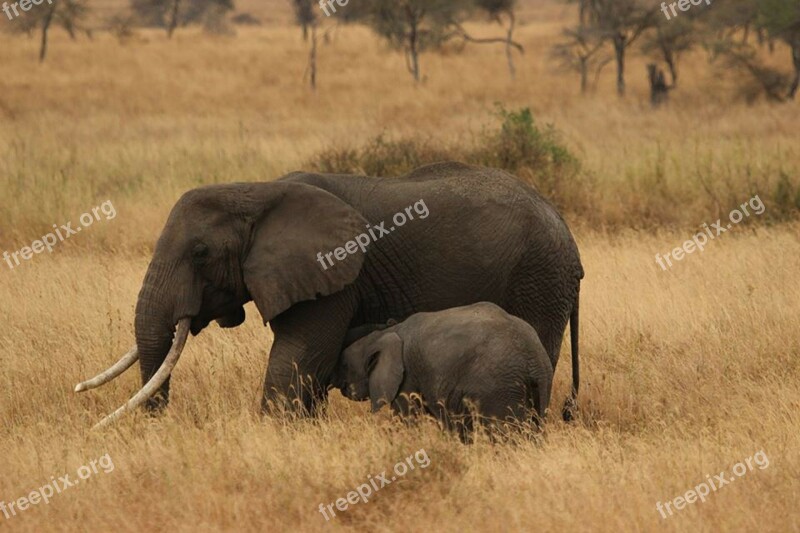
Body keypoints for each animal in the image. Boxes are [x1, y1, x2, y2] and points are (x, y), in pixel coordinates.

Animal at [334, 302, 552, 434]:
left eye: (344, 364)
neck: (387, 332)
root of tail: (534, 357)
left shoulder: (407, 377)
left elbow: (406, 417)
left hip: (499, 387)